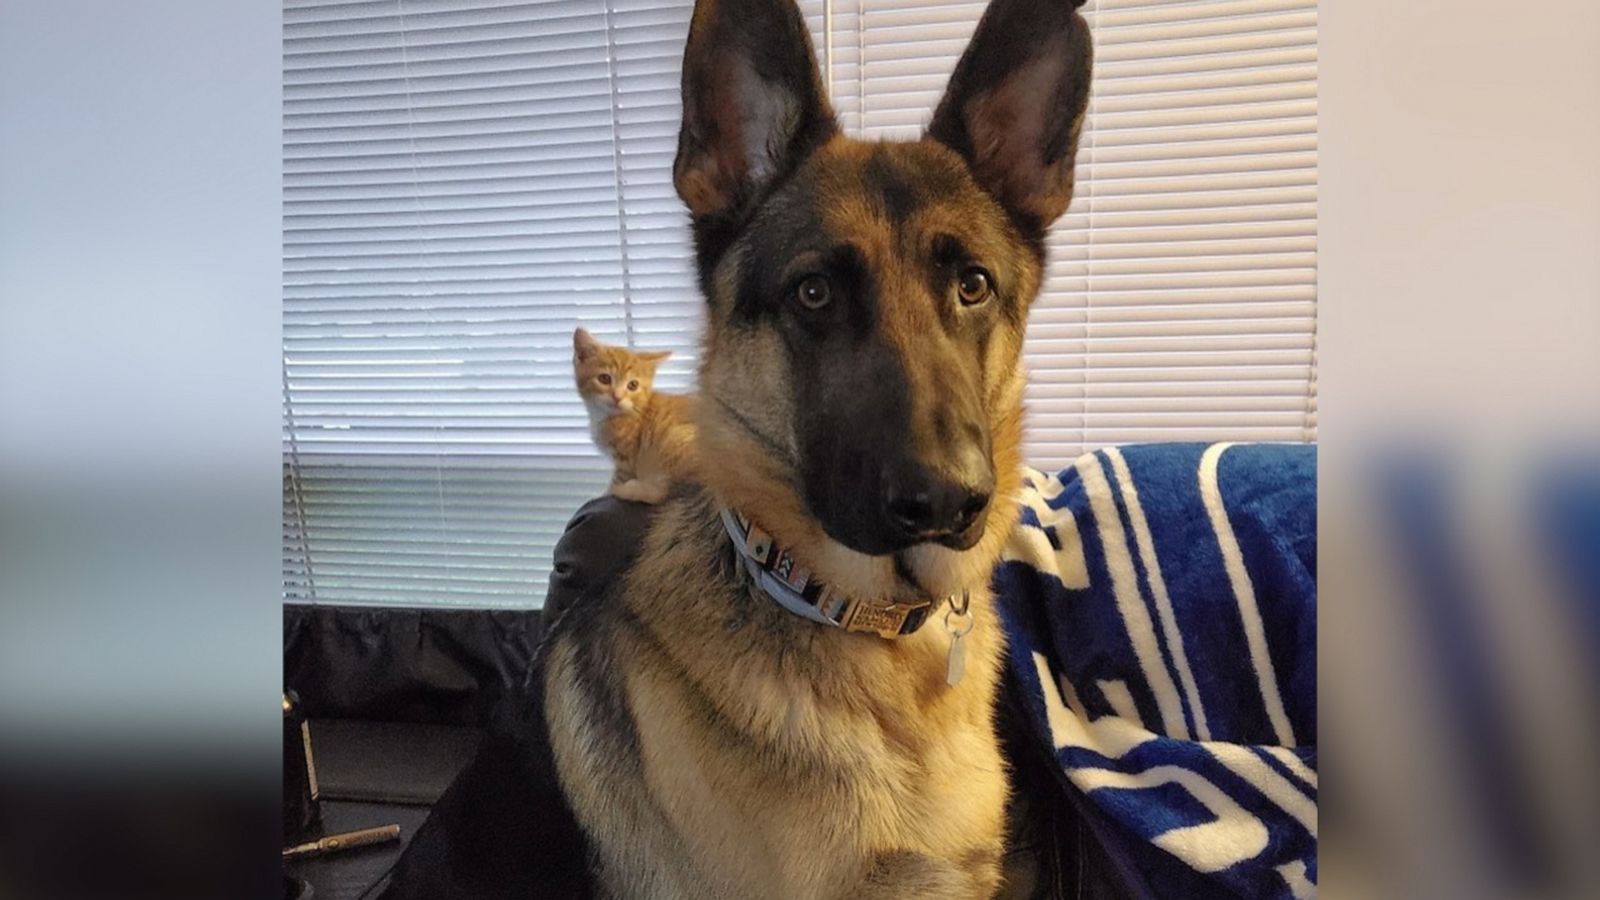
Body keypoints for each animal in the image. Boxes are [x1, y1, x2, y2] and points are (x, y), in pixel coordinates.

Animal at [576, 323, 700, 506]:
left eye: (632, 385)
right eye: (604, 379)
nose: (617, 397)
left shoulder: (627, 462)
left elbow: (616, 481)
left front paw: (604, 494)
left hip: (674, 438)